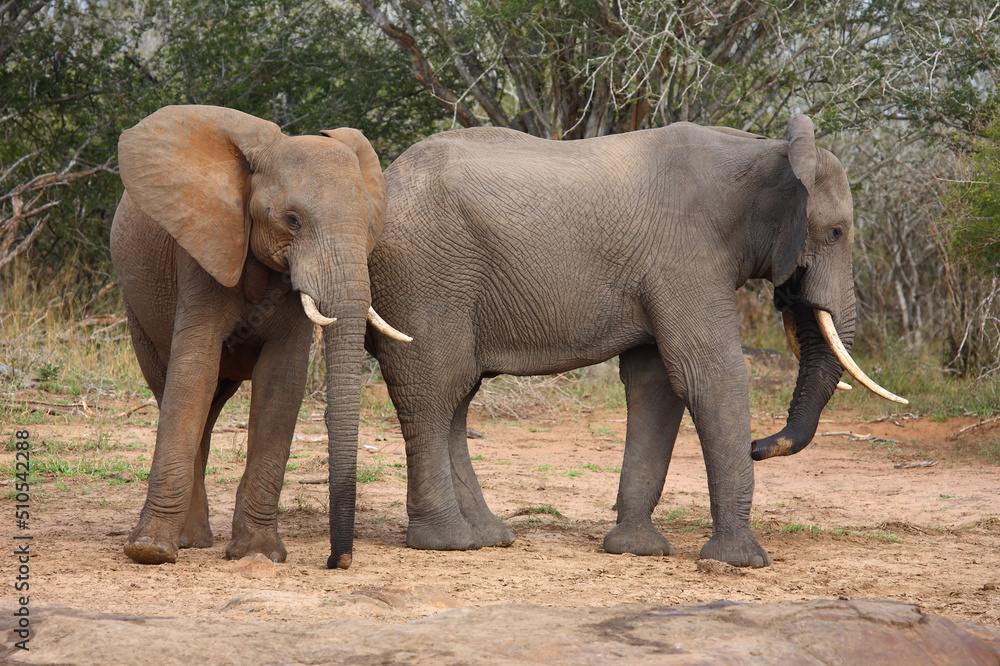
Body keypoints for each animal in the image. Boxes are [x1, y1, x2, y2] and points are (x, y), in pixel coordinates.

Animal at [110, 105, 409, 566]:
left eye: (367, 224)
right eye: (292, 220)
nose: (336, 561)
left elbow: (281, 382)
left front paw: (258, 554)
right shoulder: (205, 249)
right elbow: (193, 371)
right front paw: (149, 551)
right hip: (137, 310)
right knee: (173, 389)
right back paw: (188, 542)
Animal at [344, 114, 905, 569]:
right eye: (837, 232)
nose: (759, 446)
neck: (767, 150)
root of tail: (385, 179)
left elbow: (655, 383)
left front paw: (637, 550)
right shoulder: (685, 256)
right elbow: (708, 373)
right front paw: (740, 562)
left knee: (457, 396)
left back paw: (488, 537)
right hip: (425, 278)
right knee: (433, 390)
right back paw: (448, 542)